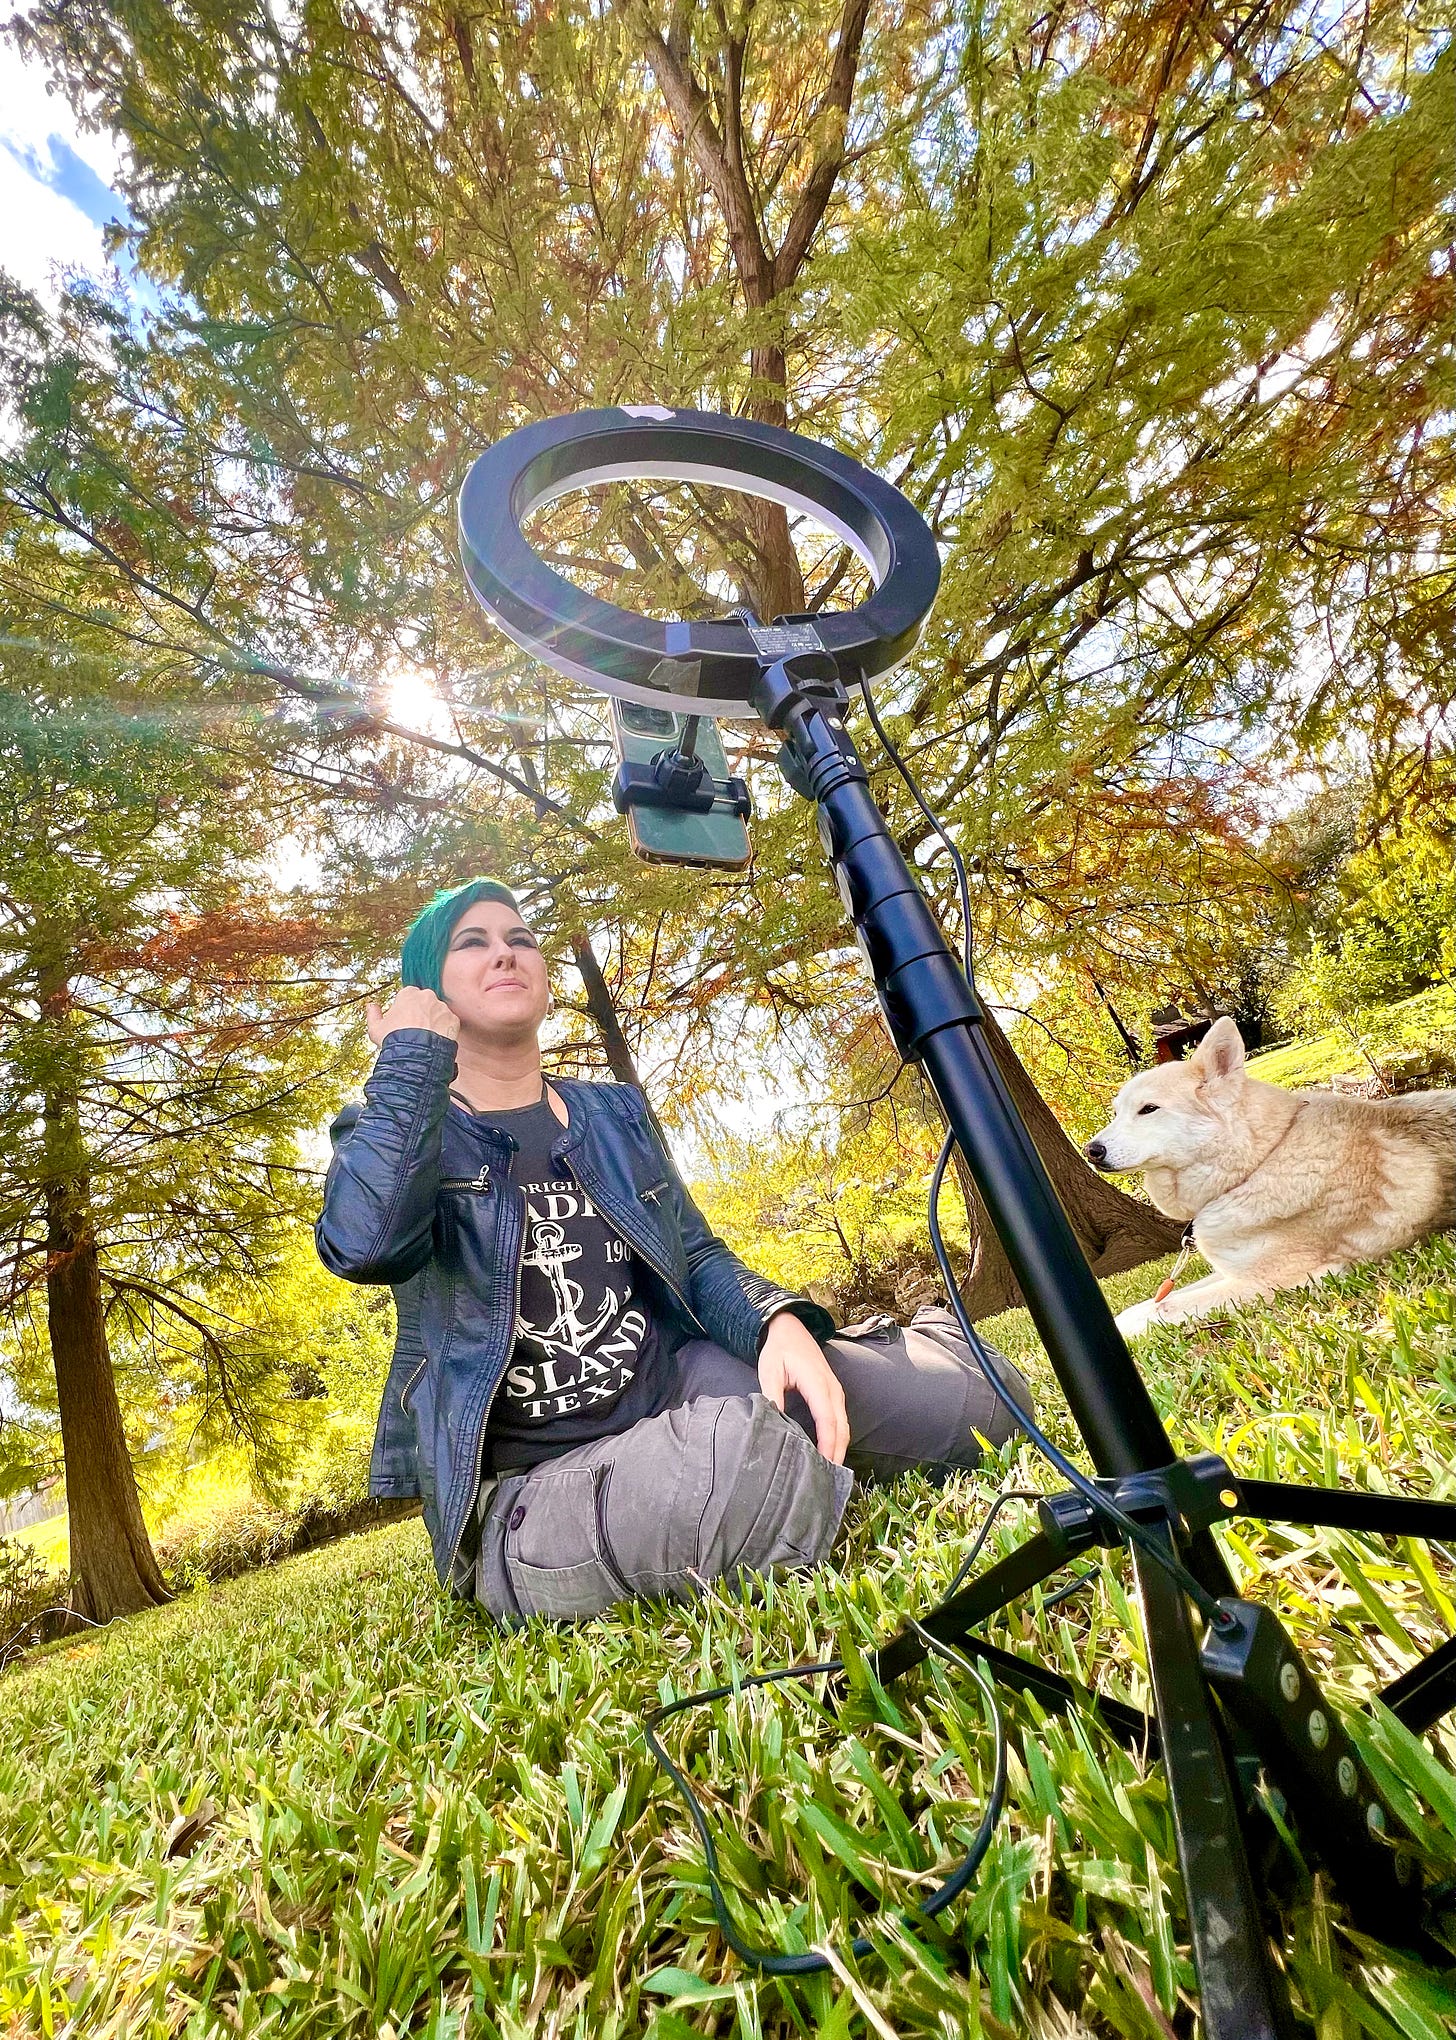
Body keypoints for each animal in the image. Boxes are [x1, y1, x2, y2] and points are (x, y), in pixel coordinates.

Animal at [1084, 1020, 1443, 1338]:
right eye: (1116, 1113)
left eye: (1148, 1109)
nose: (1091, 1151)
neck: (1256, 1163)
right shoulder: (1232, 1270)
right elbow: (1152, 1301)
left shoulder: (1289, 1279)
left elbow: (1163, 1308)